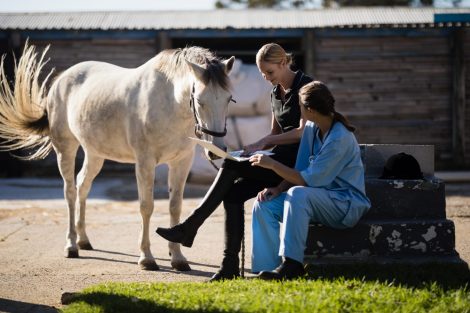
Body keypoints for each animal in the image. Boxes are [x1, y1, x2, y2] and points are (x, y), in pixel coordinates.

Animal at [0, 42, 235, 270]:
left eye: (228, 99)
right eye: (200, 100)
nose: (216, 150)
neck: (168, 101)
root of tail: (61, 79)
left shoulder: (181, 162)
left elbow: (174, 207)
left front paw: (177, 258)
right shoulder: (145, 163)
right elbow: (146, 207)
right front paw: (146, 258)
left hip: (95, 154)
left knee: (82, 186)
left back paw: (84, 240)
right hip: (65, 149)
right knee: (70, 192)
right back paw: (71, 245)